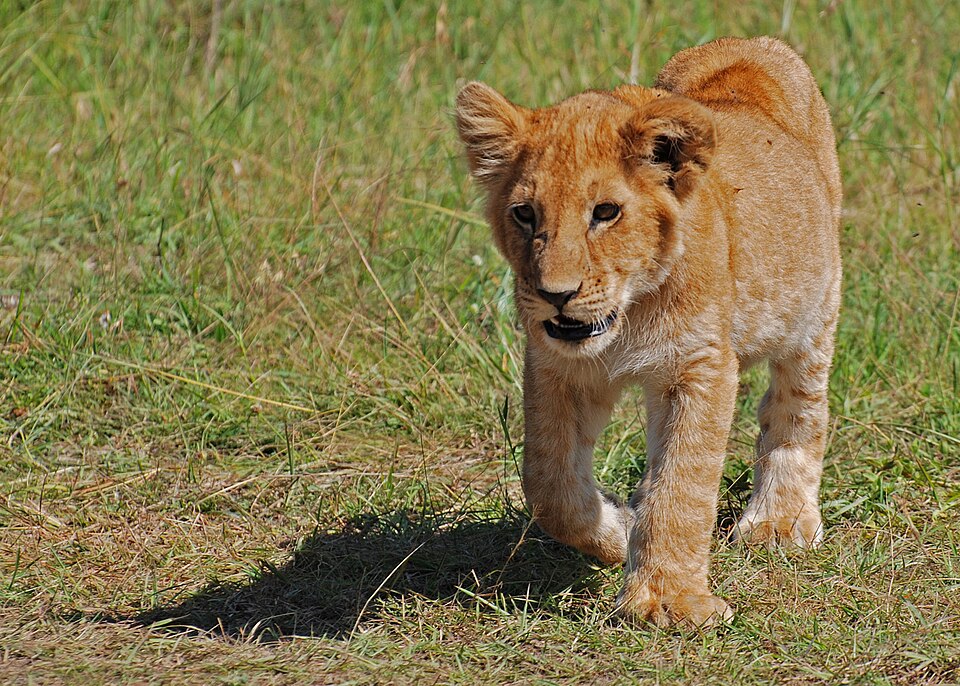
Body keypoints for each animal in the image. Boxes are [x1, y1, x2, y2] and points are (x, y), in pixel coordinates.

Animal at [454, 36, 842, 627]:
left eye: (605, 212)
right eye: (524, 213)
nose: (555, 294)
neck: (629, 313)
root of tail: (749, 43)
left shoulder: (699, 367)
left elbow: (682, 485)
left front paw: (668, 601)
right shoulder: (558, 366)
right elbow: (549, 487)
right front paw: (618, 532)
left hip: (816, 307)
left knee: (797, 406)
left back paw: (780, 522)